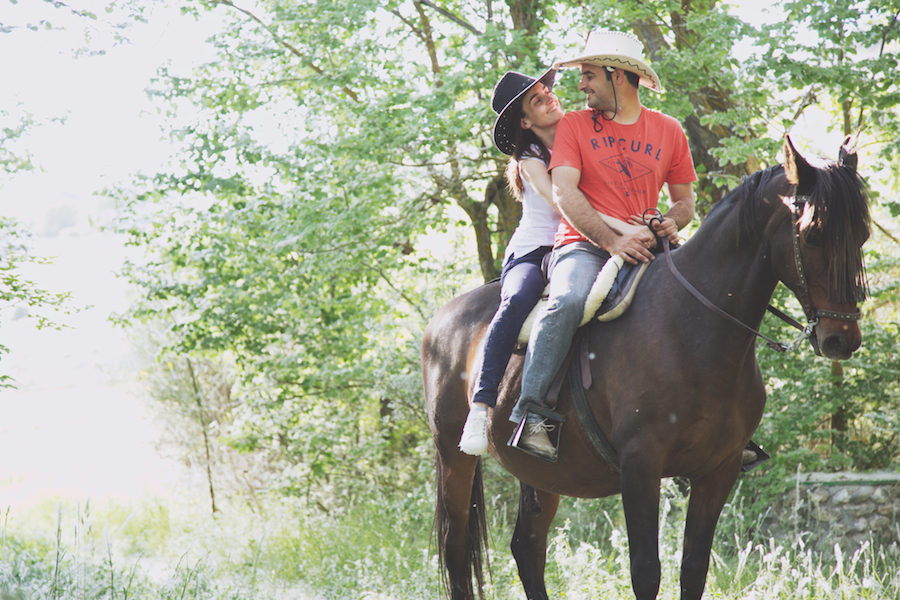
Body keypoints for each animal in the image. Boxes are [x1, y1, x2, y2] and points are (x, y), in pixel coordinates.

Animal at [422, 137, 872, 600]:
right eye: (813, 235)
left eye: (863, 234)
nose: (842, 339)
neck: (694, 328)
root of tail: (443, 319)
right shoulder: (641, 465)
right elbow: (646, 571)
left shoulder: (719, 469)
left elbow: (693, 569)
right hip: (453, 457)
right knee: (456, 548)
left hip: (540, 472)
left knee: (527, 547)